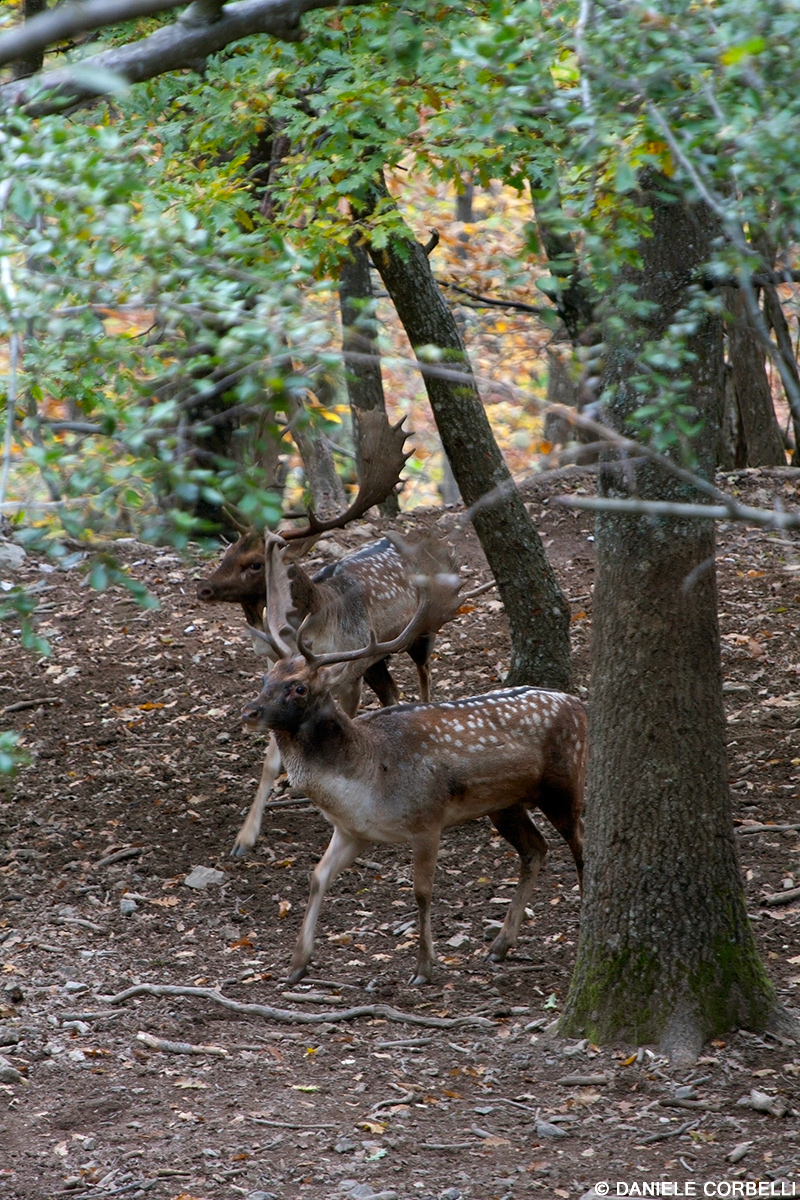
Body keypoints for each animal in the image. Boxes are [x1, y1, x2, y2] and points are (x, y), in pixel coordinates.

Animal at [241, 578, 585, 984]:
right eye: (266, 679)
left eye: (298, 688)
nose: (249, 711)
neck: (367, 778)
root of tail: (579, 704)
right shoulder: (353, 831)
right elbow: (317, 876)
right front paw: (297, 965)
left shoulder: (427, 820)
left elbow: (422, 892)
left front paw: (423, 966)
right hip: (505, 805)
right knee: (535, 849)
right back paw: (500, 945)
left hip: (565, 785)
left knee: (582, 849)